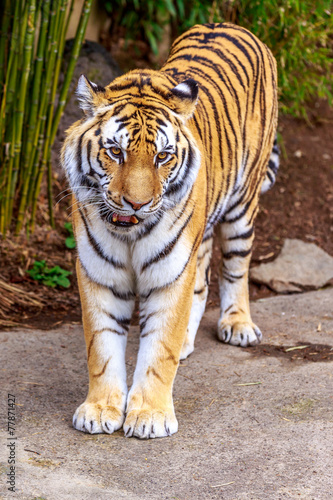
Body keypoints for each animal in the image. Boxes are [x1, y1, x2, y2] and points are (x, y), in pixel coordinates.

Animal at [61, 22, 278, 438]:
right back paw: (188, 342)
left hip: (242, 205)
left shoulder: (169, 273)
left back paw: (238, 324)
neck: (129, 233)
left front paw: (149, 415)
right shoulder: (99, 273)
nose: (137, 204)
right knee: (203, 280)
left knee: (235, 268)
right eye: (116, 152)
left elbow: (158, 350)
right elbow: (101, 347)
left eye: (163, 156)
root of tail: (230, 24)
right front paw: (100, 409)